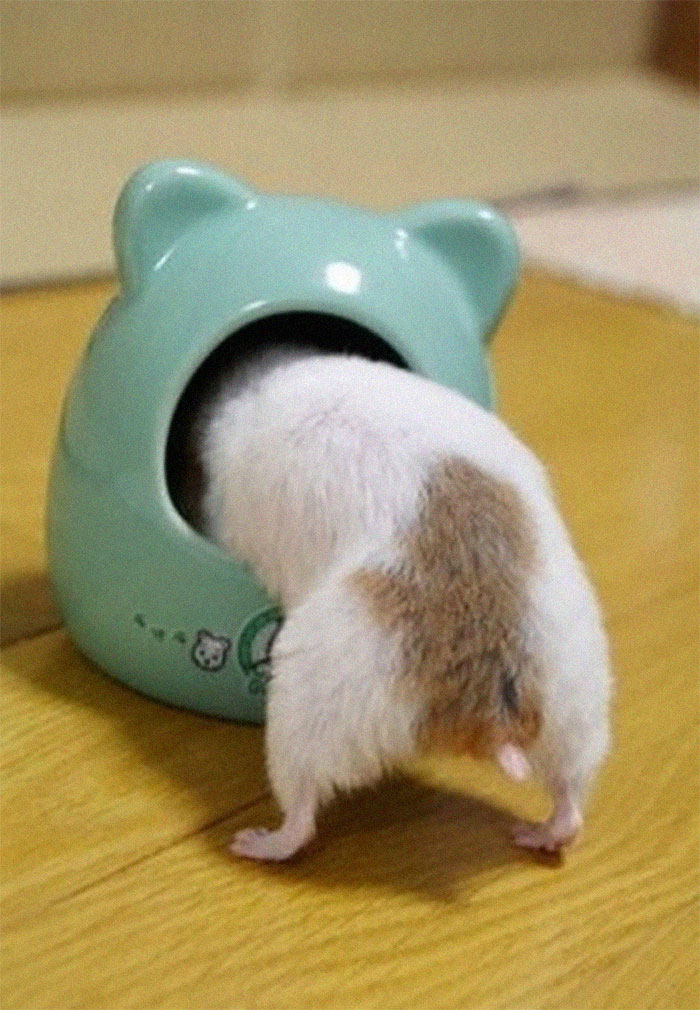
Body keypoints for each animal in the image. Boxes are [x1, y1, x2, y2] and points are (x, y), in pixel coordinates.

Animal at [189, 348, 610, 861]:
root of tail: (490, 703)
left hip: (308, 708)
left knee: (301, 818)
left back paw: (251, 842)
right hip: (577, 703)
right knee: (570, 801)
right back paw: (533, 835)